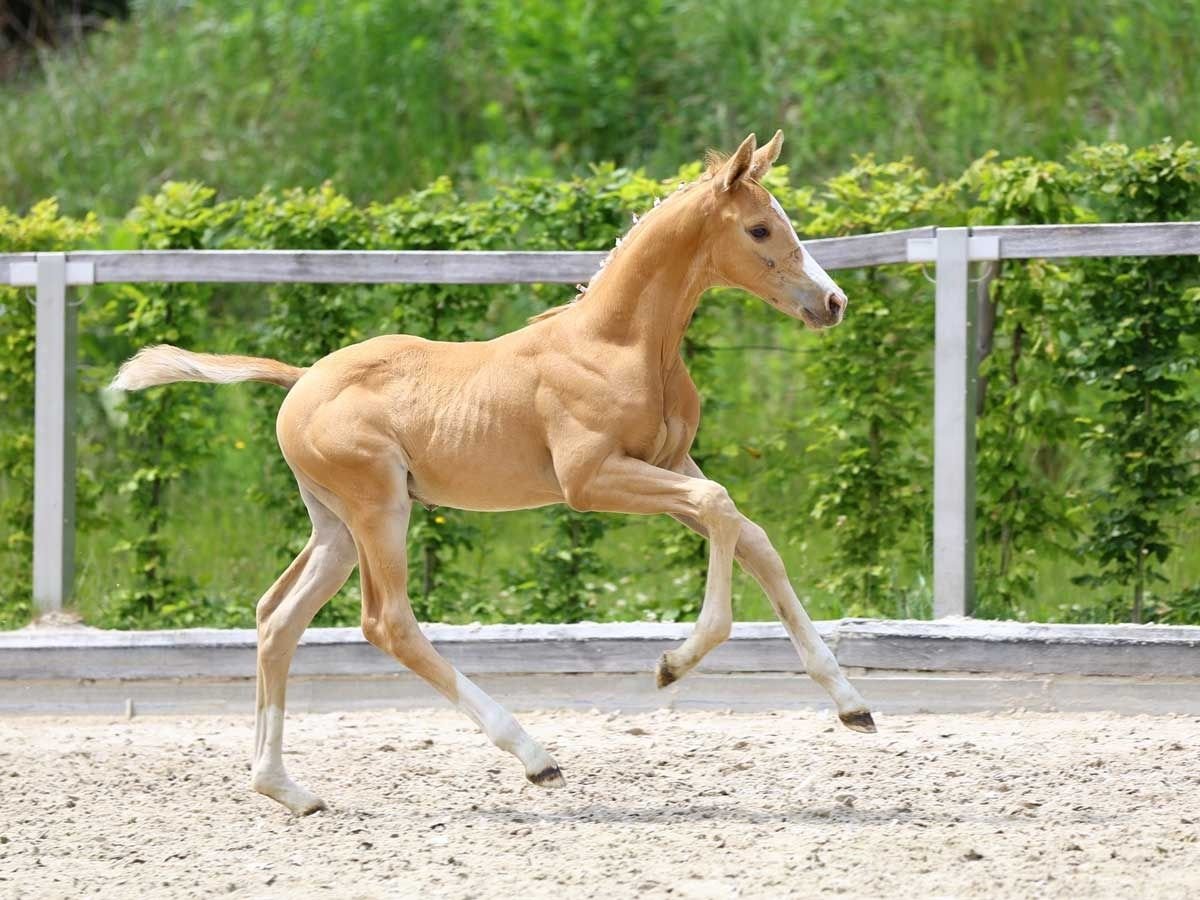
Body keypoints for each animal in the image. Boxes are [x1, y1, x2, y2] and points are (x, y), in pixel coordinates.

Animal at [114, 132, 873, 816]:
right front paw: (671, 665)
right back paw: (535, 756)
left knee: (278, 617)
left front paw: (852, 705)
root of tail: (301, 380)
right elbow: (719, 508)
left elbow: (751, 537)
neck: (619, 343)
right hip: (379, 508)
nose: (833, 302)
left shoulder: (666, 464)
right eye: (760, 228)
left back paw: (286, 789)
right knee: (387, 622)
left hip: (334, 525)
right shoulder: (593, 481)